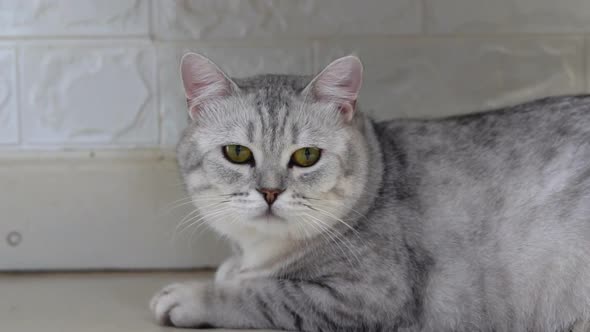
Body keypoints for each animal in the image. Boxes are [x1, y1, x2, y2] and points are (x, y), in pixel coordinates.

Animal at [150, 53, 590, 330]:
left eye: (306, 156)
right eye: (238, 153)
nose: (270, 192)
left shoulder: (366, 296)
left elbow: (261, 295)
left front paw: (192, 295)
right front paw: (230, 271)